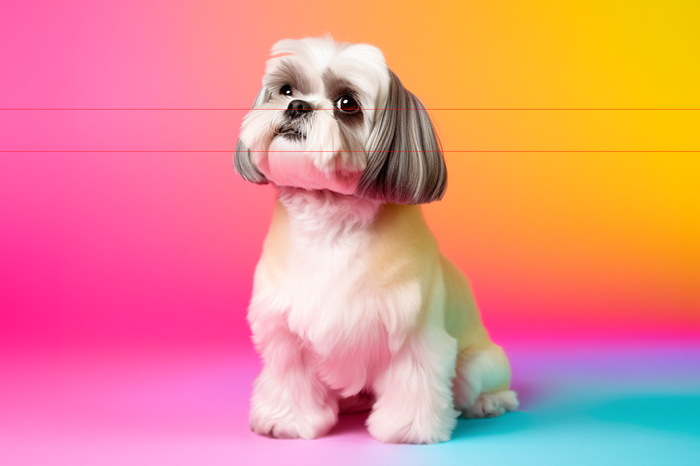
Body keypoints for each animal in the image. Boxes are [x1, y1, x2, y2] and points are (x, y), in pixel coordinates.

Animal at [235, 34, 520, 442]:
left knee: (484, 388)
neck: (331, 221)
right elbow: (289, 376)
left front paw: (408, 429)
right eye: (286, 90)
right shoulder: (283, 331)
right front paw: (286, 420)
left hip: (476, 366)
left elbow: (413, 378)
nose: (297, 106)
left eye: (347, 103)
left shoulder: (414, 333)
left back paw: (489, 403)